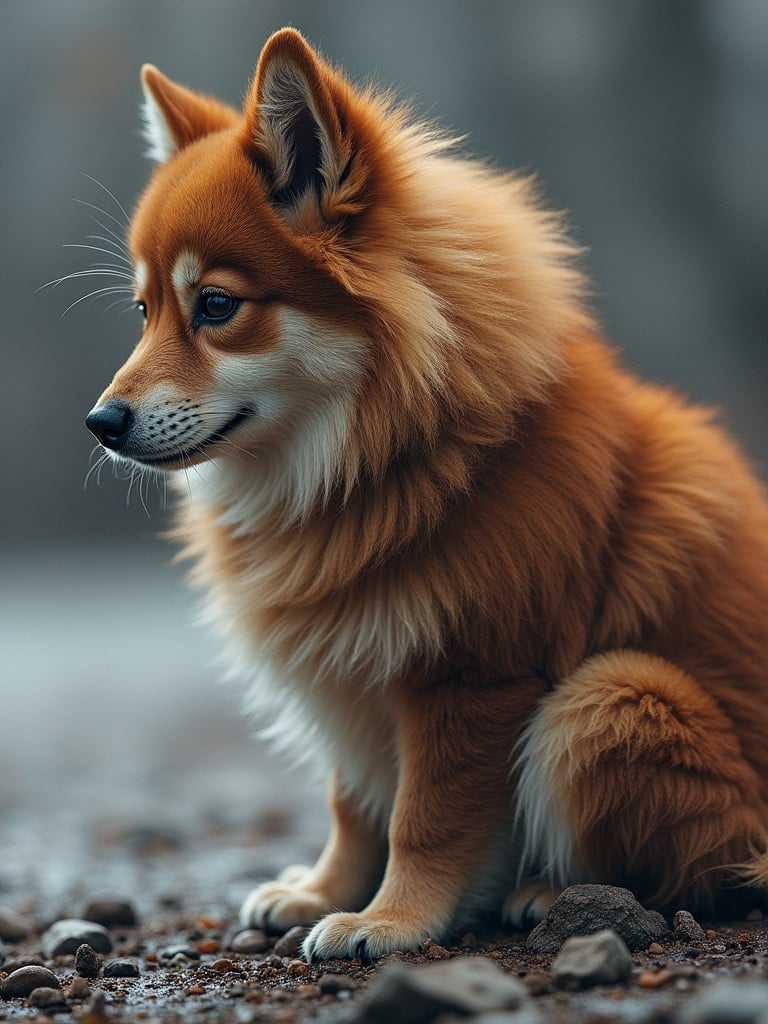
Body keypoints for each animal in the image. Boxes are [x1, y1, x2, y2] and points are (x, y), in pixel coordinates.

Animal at [85, 32, 768, 958]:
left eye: (217, 306)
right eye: (145, 310)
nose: (101, 421)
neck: (368, 458)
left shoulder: (471, 675)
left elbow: (425, 821)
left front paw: (390, 920)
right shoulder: (349, 659)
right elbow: (354, 805)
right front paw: (324, 891)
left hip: (605, 701)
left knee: (693, 876)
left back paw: (551, 893)